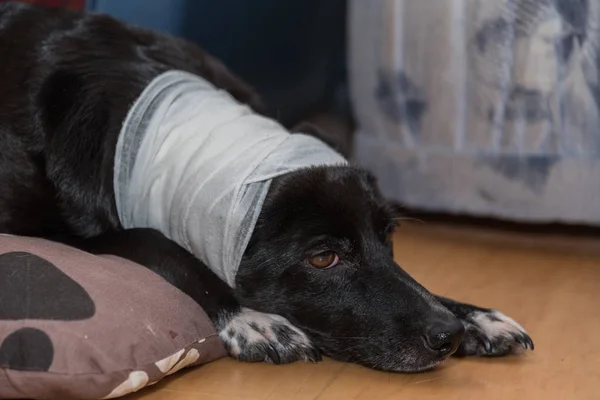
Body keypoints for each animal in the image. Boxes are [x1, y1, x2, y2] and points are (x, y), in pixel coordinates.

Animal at [0, 1, 536, 374]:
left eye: (388, 238)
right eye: (323, 258)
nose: (447, 336)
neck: (139, 113)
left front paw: (472, 316)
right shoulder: (52, 230)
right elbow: (160, 243)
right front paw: (247, 317)